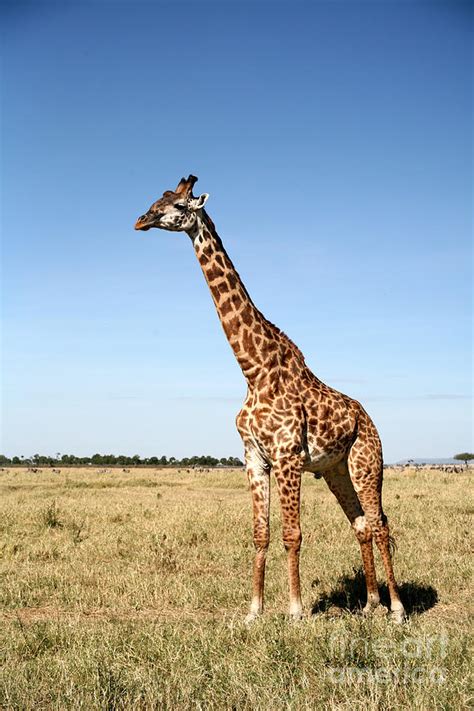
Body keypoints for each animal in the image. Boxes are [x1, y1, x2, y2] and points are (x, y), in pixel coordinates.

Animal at [135, 177, 406, 624]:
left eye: (177, 205)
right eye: (155, 200)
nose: (140, 220)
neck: (253, 370)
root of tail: (367, 419)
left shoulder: (287, 456)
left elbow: (291, 534)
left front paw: (295, 611)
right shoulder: (254, 458)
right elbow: (260, 534)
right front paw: (253, 611)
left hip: (367, 461)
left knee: (381, 524)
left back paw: (397, 609)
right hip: (336, 469)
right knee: (362, 524)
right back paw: (370, 604)